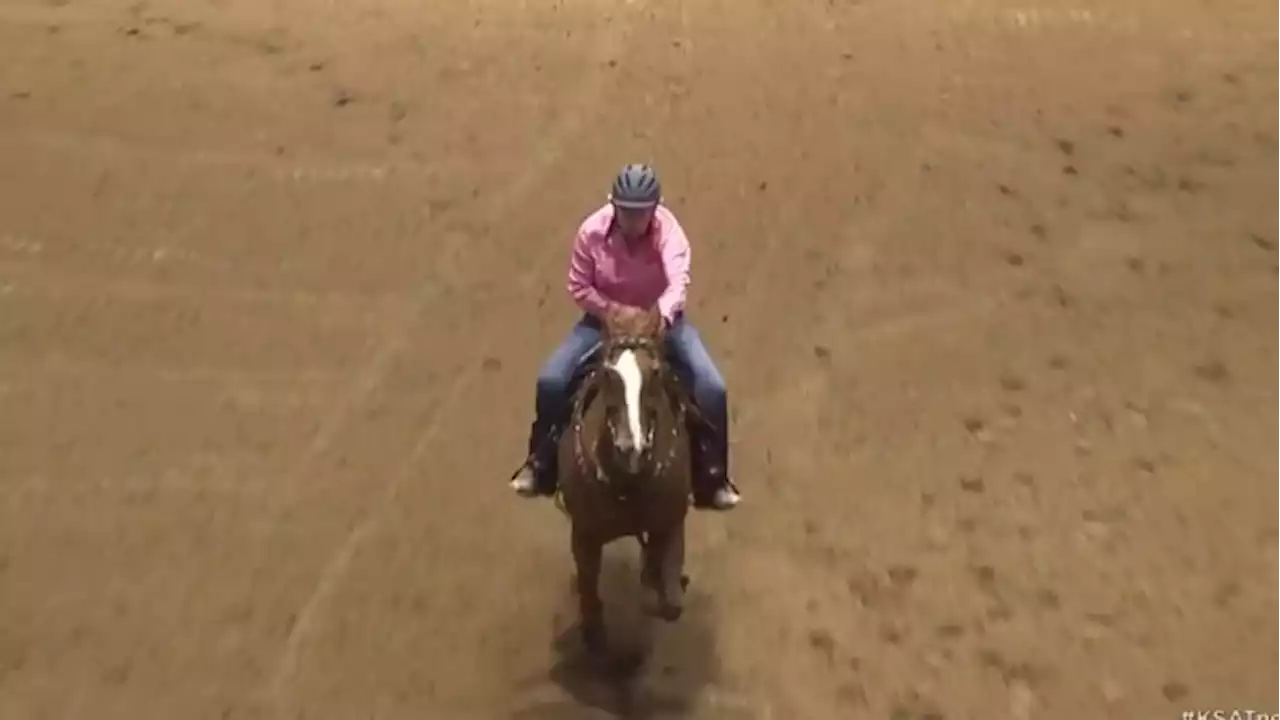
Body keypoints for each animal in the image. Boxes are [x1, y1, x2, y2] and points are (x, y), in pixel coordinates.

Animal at [558, 302, 701, 650]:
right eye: (609, 373)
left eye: (655, 372)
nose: (630, 447)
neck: (628, 484)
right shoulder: (583, 534)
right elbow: (588, 590)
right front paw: (594, 632)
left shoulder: (670, 523)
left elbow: (668, 603)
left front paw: (657, 584)